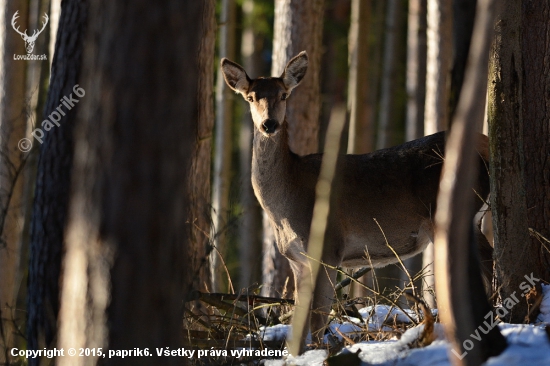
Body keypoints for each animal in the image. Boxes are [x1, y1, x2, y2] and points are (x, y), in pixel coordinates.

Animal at [220, 50, 492, 350]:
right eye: (250, 97)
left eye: (283, 95)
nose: (269, 124)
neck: (286, 204)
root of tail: (484, 142)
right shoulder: (296, 259)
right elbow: (299, 322)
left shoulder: (328, 247)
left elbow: (318, 318)